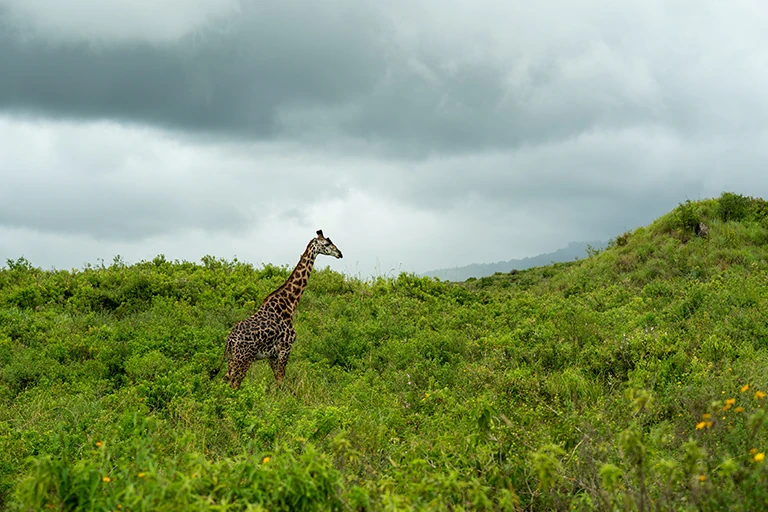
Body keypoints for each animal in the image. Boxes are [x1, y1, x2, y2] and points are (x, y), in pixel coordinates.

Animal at [211, 230, 343, 388]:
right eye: (327, 244)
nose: (340, 253)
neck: (289, 304)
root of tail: (229, 341)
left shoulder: (272, 354)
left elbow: (278, 379)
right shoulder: (285, 347)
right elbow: (280, 379)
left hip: (232, 359)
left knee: (226, 379)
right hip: (244, 359)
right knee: (235, 383)